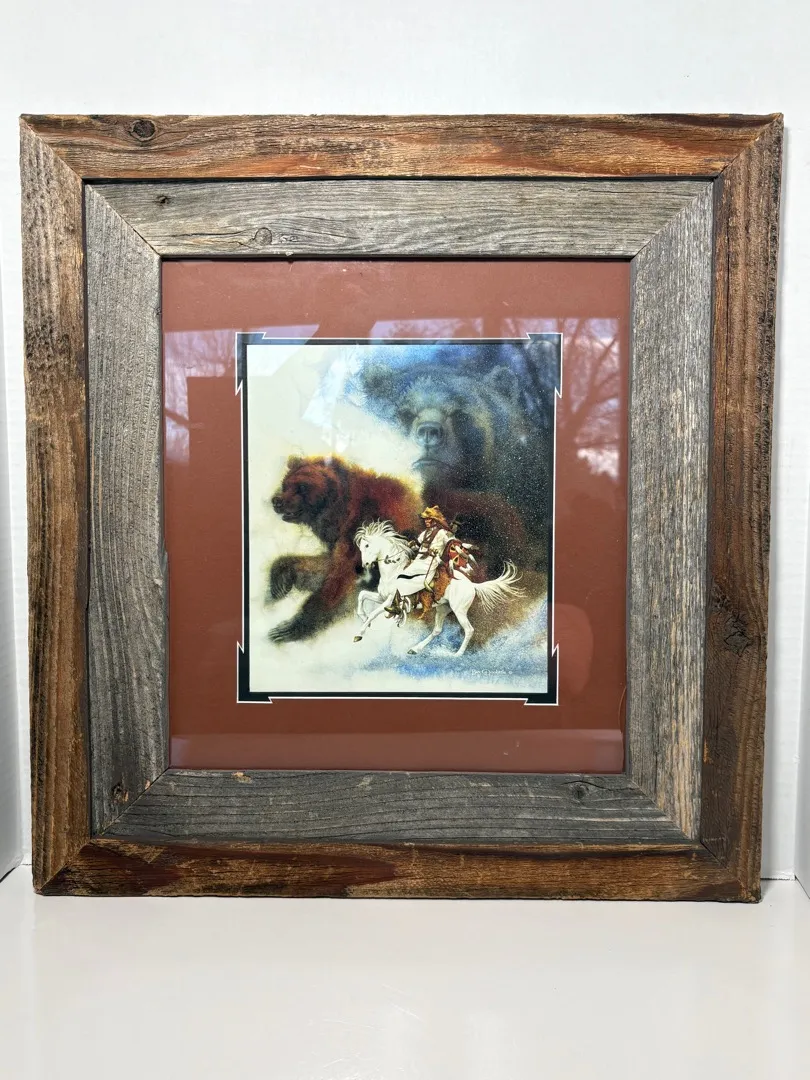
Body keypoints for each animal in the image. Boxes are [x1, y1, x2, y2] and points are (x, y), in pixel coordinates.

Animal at [266, 455, 422, 642]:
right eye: (285, 485)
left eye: (301, 487)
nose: (277, 501)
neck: (339, 510)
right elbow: (325, 565)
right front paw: (279, 582)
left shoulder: (361, 532)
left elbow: (339, 578)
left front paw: (290, 628)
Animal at [353, 520, 524, 657]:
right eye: (361, 547)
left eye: (367, 545)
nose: (364, 565)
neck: (394, 571)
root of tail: (472, 585)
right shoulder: (381, 597)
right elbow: (362, 596)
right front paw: (363, 618)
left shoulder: (390, 601)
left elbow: (373, 613)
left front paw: (359, 633)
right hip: (443, 608)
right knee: (437, 630)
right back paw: (415, 649)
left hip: (459, 610)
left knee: (469, 630)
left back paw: (457, 654)